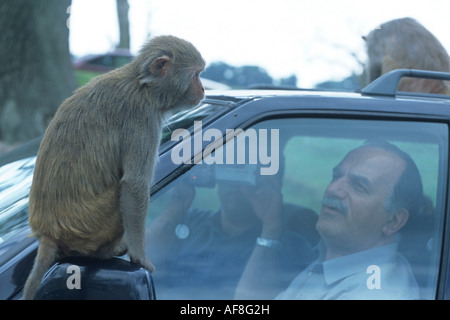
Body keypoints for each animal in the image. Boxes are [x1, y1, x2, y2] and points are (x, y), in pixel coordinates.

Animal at [22, 35, 206, 300]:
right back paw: (104, 253)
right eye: (195, 75)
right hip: (89, 225)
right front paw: (139, 255)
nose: (203, 89)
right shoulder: (142, 118)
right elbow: (134, 185)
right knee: (121, 195)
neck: (143, 85)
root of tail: (48, 233)